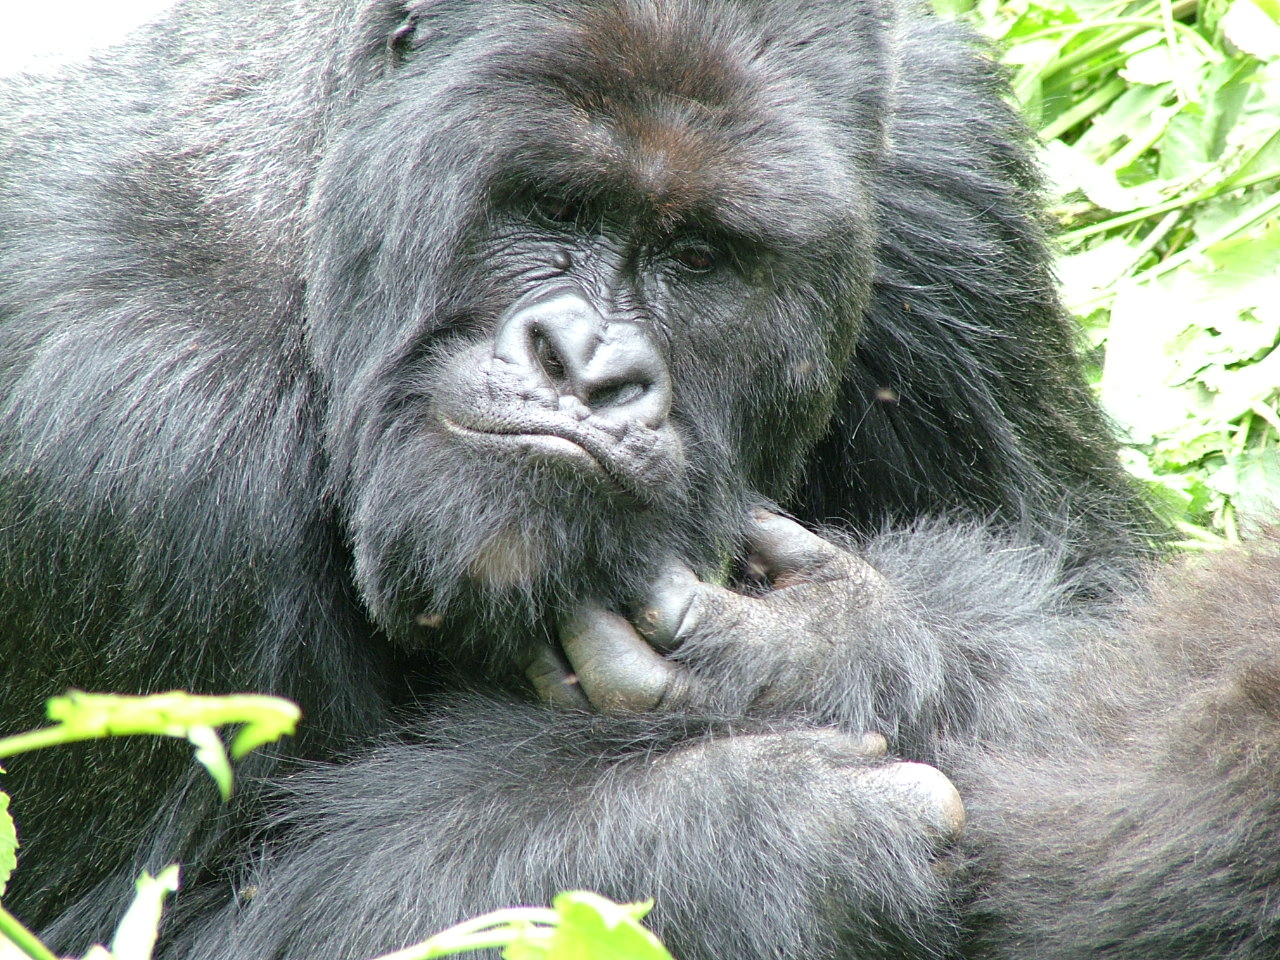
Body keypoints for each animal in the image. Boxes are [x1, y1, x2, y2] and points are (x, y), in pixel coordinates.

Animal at [0, 1, 1274, 960]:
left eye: (698, 257)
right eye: (551, 206)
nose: (587, 366)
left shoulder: (948, 194)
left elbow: (1109, 629)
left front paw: (822, 645)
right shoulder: (117, 441)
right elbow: (156, 927)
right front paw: (748, 838)